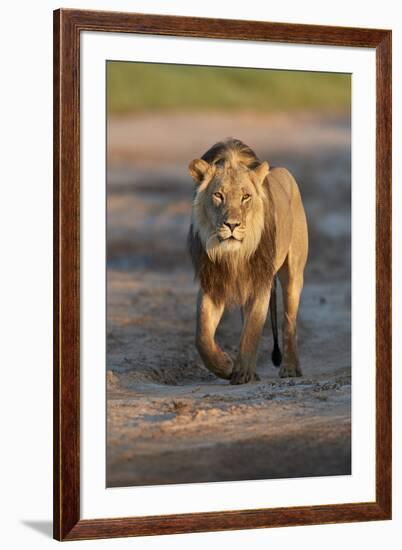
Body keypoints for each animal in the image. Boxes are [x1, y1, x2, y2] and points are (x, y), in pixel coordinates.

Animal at [188, 140, 308, 386]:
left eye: (245, 197)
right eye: (218, 195)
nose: (232, 225)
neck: (234, 254)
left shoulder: (261, 282)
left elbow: (252, 329)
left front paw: (242, 373)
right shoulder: (211, 283)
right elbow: (202, 336)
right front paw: (225, 365)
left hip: (293, 273)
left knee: (288, 321)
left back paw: (290, 368)